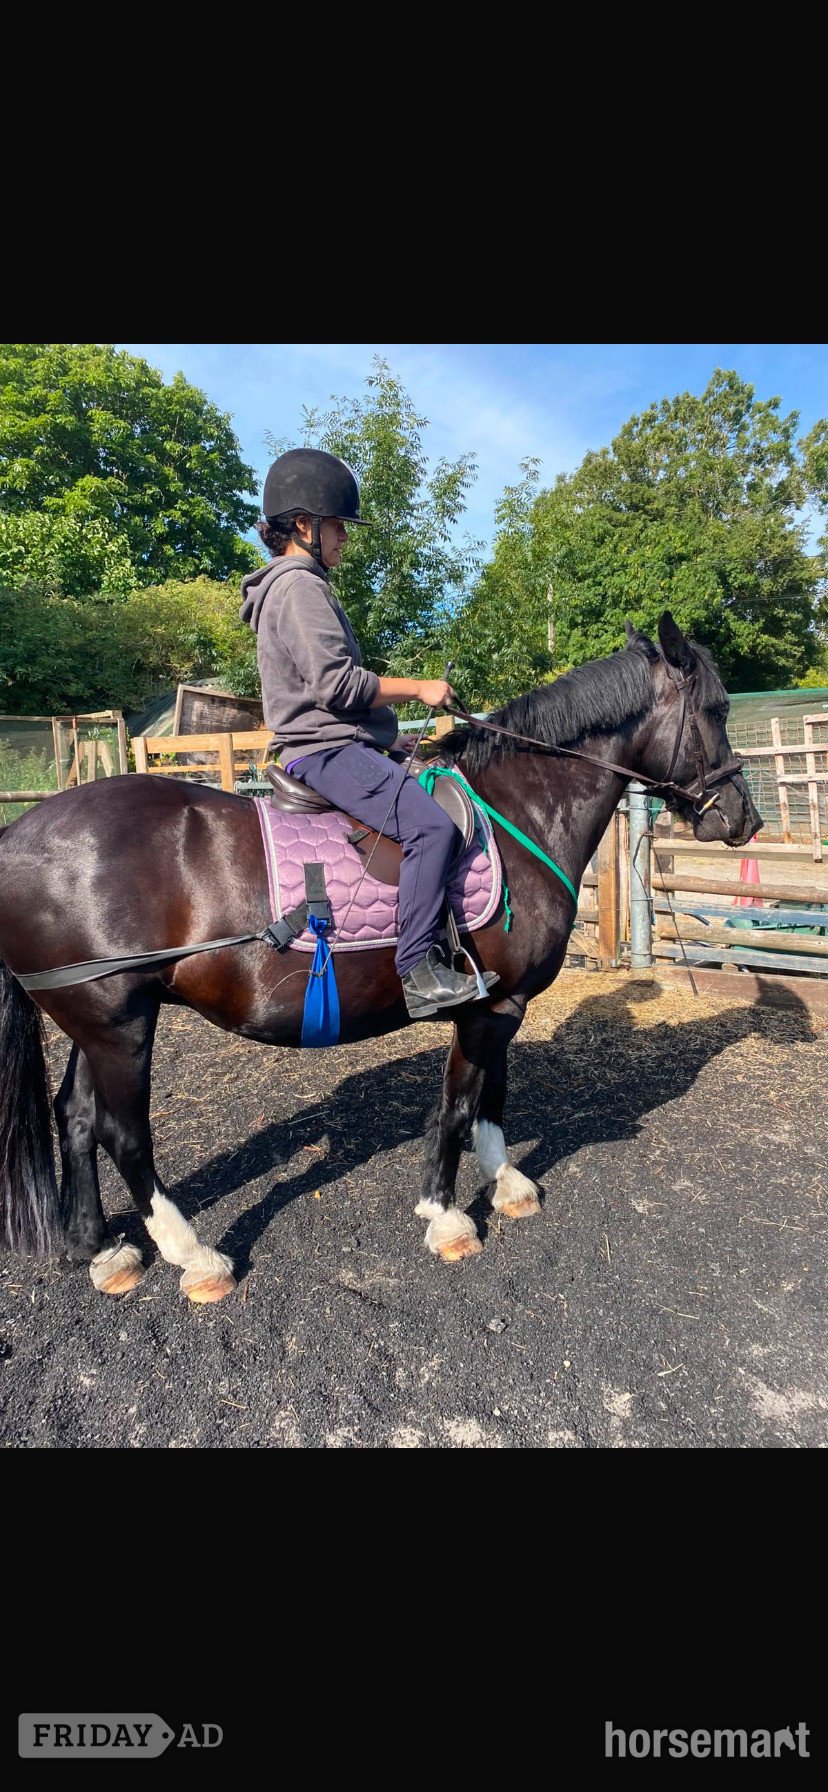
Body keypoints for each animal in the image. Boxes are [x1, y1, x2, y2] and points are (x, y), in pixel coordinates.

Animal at [0, 613, 761, 1300]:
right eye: (717, 709)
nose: (743, 817)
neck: (518, 812)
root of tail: (18, 835)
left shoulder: (503, 1001)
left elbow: (493, 1097)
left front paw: (505, 1184)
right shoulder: (488, 1009)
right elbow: (458, 1106)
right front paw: (446, 1217)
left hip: (102, 1019)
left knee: (76, 1118)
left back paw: (99, 1249)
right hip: (120, 1025)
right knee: (124, 1135)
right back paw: (194, 1257)